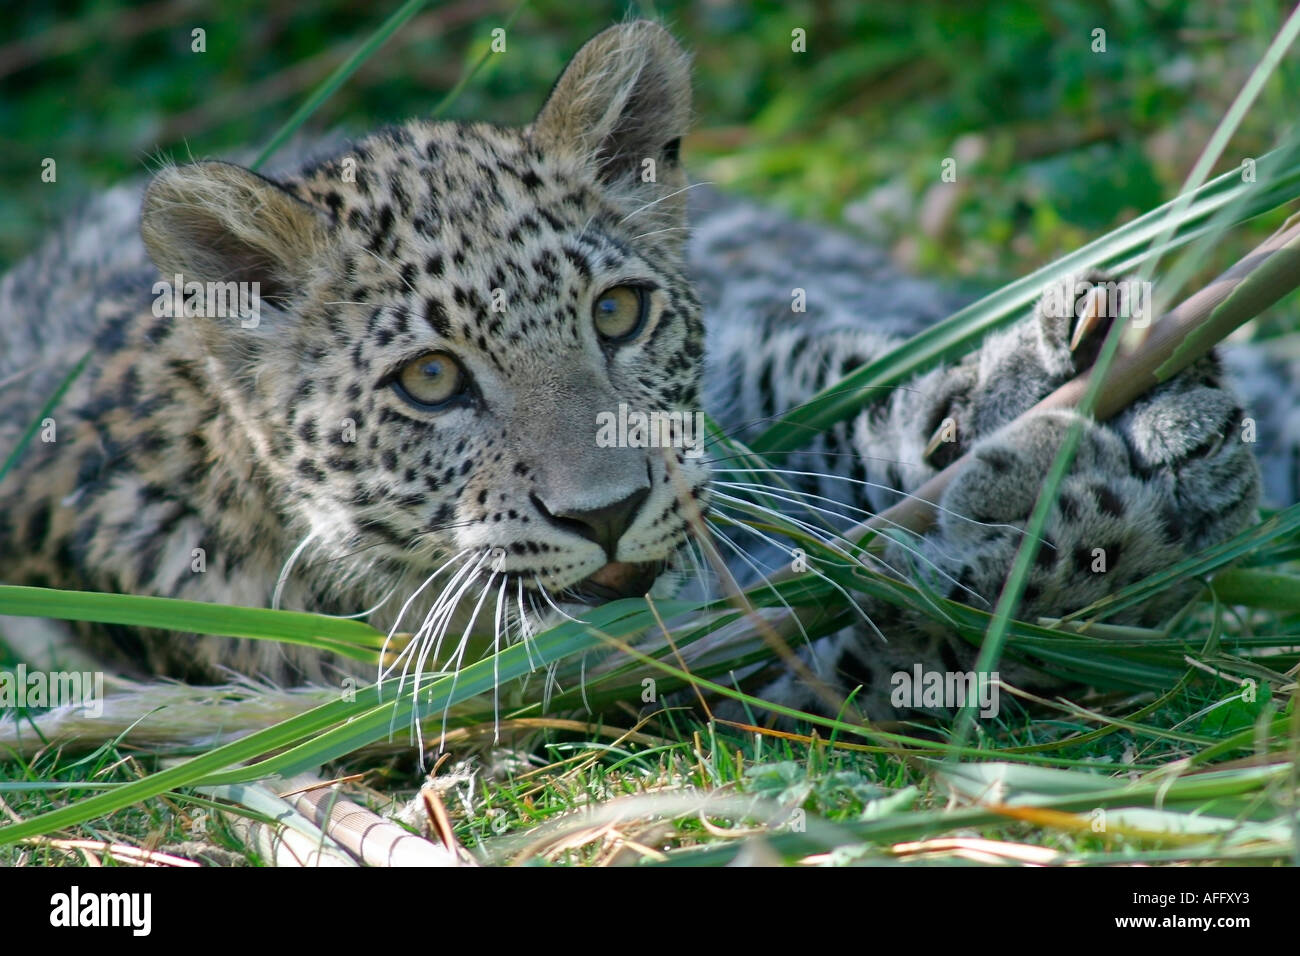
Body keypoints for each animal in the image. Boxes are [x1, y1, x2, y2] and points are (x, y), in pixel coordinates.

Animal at [0, 19, 1289, 726]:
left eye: (617, 315)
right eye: (430, 382)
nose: (607, 514)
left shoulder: (749, 390)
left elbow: (831, 390)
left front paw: (1043, 411)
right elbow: (873, 645)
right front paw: (1096, 528)